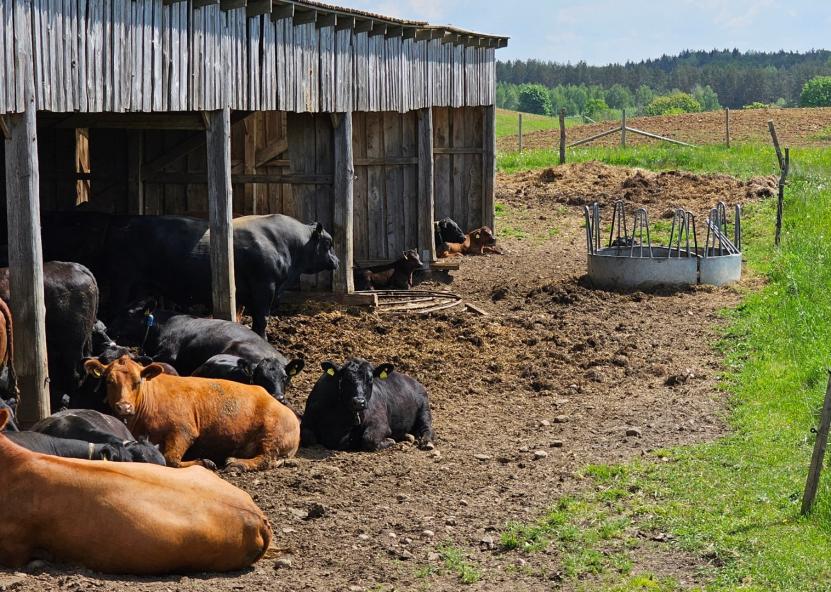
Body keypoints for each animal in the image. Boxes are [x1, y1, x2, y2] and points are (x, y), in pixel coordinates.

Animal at [81, 356, 300, 472]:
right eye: (109, 381)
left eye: (137, 381)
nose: (124, 407)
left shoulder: (183, 430)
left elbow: (171, 458)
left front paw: (203, 461)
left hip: (271, 435)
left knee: (265, 458)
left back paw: (236, 463)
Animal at [300, 358, 436, 450]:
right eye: (345, 379)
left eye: (370, 379)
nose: (359, 402)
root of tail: (414, 381)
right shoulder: (306, 421)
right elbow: (308, 437)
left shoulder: (380, 422)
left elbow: (369, 439)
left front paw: (390, 441)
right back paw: (407, 436)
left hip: (424, 408)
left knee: (427, 428)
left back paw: (426, 442)